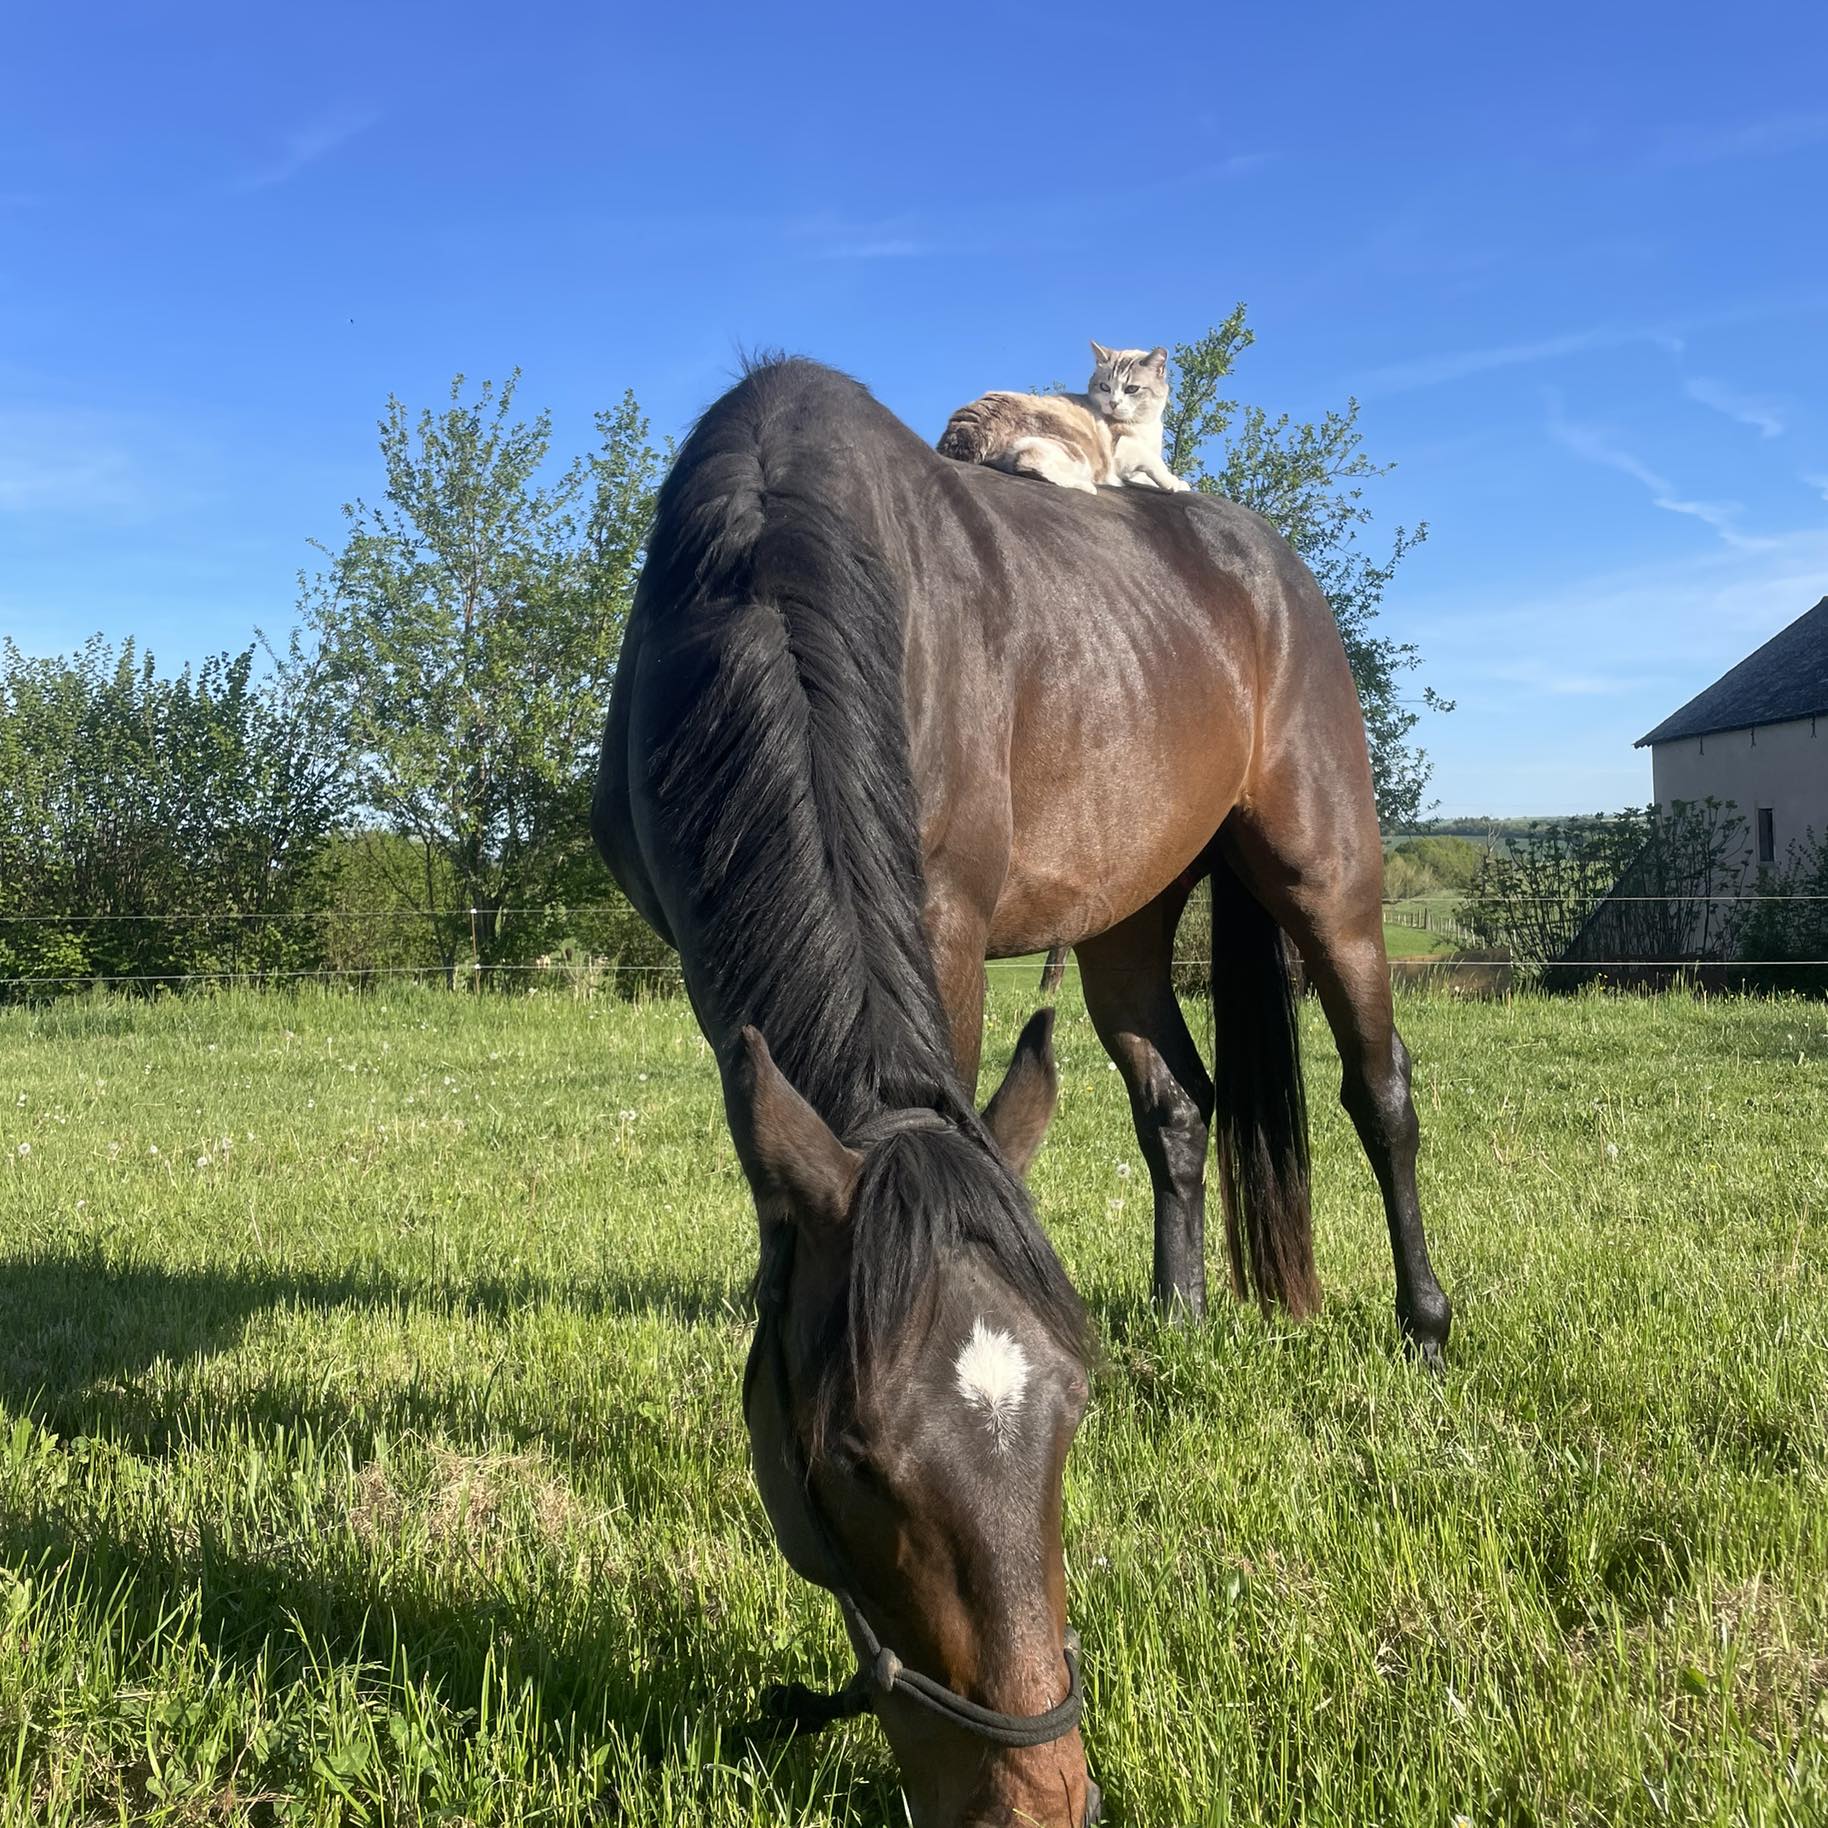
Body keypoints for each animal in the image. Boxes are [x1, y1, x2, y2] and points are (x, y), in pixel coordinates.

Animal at [593, 356, 1451, 1826]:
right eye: (849, 1455)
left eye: (1067, 1424)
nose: (1042, 1799)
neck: (766, 563)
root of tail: (1261, 558)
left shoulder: (942, 921)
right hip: (1125, 914)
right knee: (1177, 1102)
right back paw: (1183, 1313)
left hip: (1326, 871)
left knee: (1376, 1090)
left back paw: (1425, 1323)